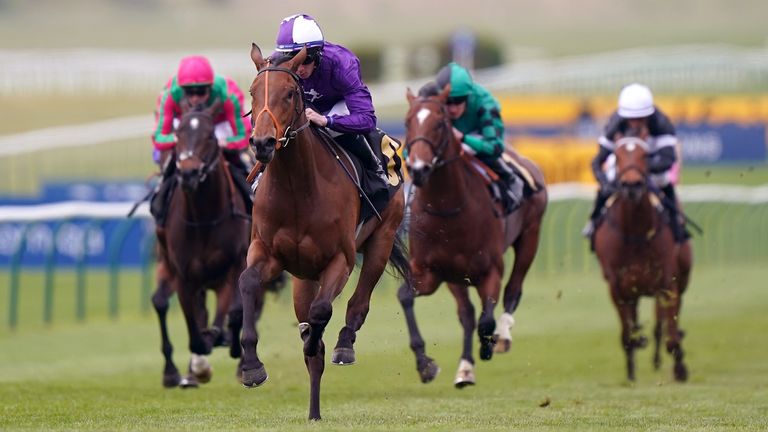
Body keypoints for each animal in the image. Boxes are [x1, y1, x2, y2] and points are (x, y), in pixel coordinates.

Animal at [152, 100, 252, 388]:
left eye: (210, 136)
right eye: (178, 135)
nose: (189, 173)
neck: (205, 218)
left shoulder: (234, 265)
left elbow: (234, 313)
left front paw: (228, 343)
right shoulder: (183, 275)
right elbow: (195, 331)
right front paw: (197, 366)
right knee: (163, 303)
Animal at [240, 45, 412, 420]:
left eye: (290, 94)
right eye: (253, 92)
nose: (262, 143)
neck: (298, 190)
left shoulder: (340, 260)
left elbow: (321, 313)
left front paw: (316, 338)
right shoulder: (267, 252)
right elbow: (247, 283)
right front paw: (251, 366)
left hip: (381, 239)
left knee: (358, 303)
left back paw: (343, 345)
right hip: (304, 278)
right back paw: (314, 411)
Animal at [400, 86, 548, 386]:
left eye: (440, 123)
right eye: (408, 122)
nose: (418, 169)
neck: (447, 209)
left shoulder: (490, 270)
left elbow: (487, 319)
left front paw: (489, 344)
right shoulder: (429, 272)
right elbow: (405, 297)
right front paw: (425, 364)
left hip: (530, 235)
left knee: (513, 290)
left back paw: (501, 336)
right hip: (456, 276)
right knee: (466, 314)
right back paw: (466, 367)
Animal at [592, 129, 692, 382]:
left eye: (645, 155)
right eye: (616, 156)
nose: (632, 185)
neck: (636, 232)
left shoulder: (667, 283)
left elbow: (671, 336)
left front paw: (680, 369)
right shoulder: (618, 287)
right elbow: (628, 335)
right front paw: (631, 372)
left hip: (680, 280)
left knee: (665, 323)